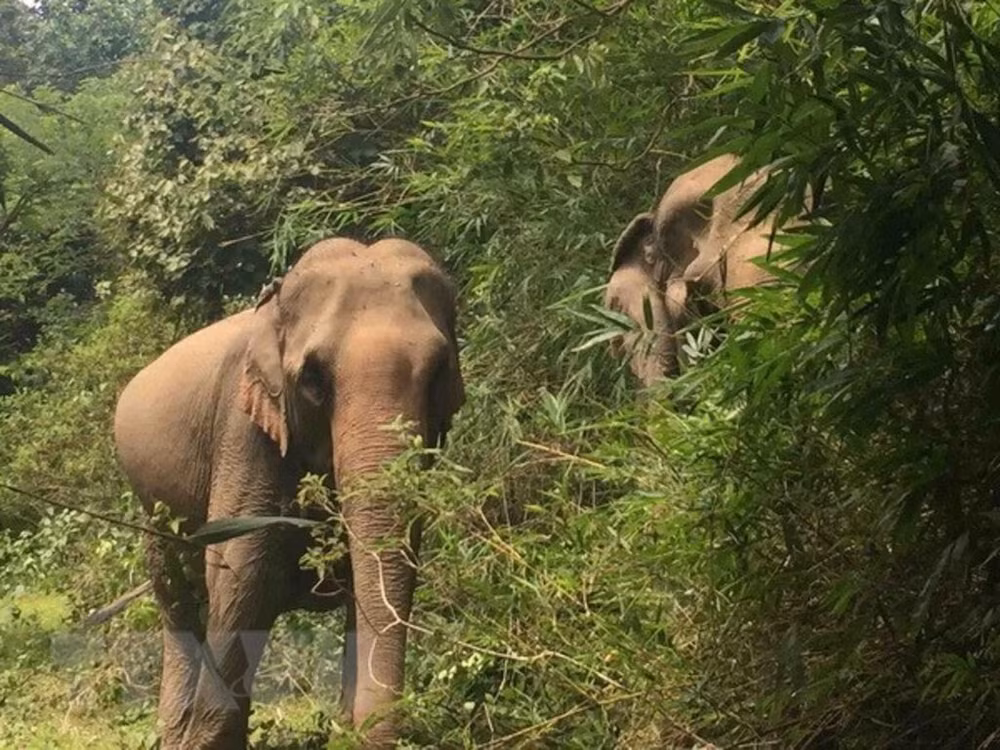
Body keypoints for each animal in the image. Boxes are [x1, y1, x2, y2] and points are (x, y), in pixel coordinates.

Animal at [113, 237, 464, 749]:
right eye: (313, 379)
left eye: (439, 372)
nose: (360, 727)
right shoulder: (243, 430)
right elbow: (242, 571)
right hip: (152, 511)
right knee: (179, 601)